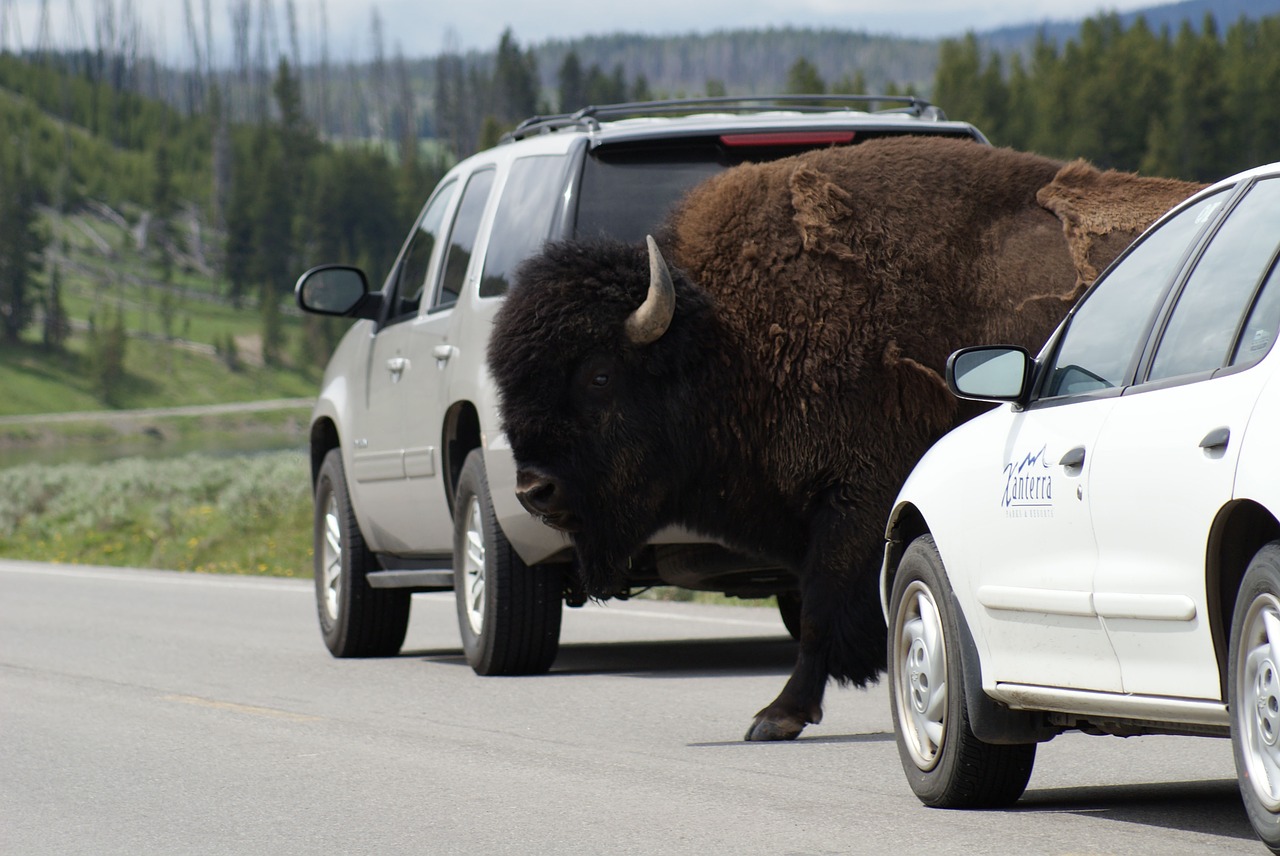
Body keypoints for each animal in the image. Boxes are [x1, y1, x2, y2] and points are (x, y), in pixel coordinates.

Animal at [483, 134, 1203, 742]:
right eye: (508, 382)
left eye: (599, 374)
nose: (533, 490)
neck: (723, 337)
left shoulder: (856, 503)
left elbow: (820, 614)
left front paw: (776, 716)